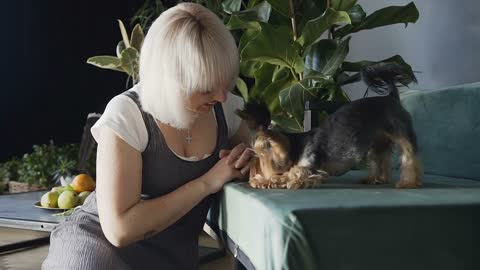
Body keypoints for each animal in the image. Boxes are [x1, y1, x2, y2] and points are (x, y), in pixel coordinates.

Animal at [238, 62, 422, 190]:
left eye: (262, 154)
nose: (254, 171)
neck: (297, 146)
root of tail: (391, 96)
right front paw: (264, 181)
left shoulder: (311, 168)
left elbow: (294, 173)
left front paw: (275, 180)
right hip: (377, 142)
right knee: (380, 159)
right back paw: (375, 179)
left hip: (402, 133)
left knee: (410, 157)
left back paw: (408, 183)